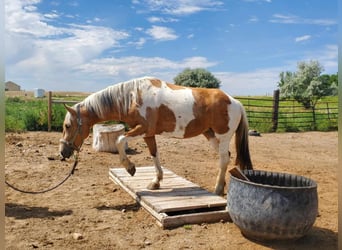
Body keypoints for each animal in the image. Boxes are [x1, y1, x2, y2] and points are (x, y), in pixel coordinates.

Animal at [58, 76, 252, 195]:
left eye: (67, 125)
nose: (62, 152)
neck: (133, 96)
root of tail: (235, 101)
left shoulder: (142, 129)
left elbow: (120, 140)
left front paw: (130, 168)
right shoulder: (148, 134)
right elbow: (154, 155)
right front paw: (156, 181)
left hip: (223, 136)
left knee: (224, 159)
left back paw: (218, 189)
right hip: (210, 135)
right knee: (226, 157)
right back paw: (221, 186)